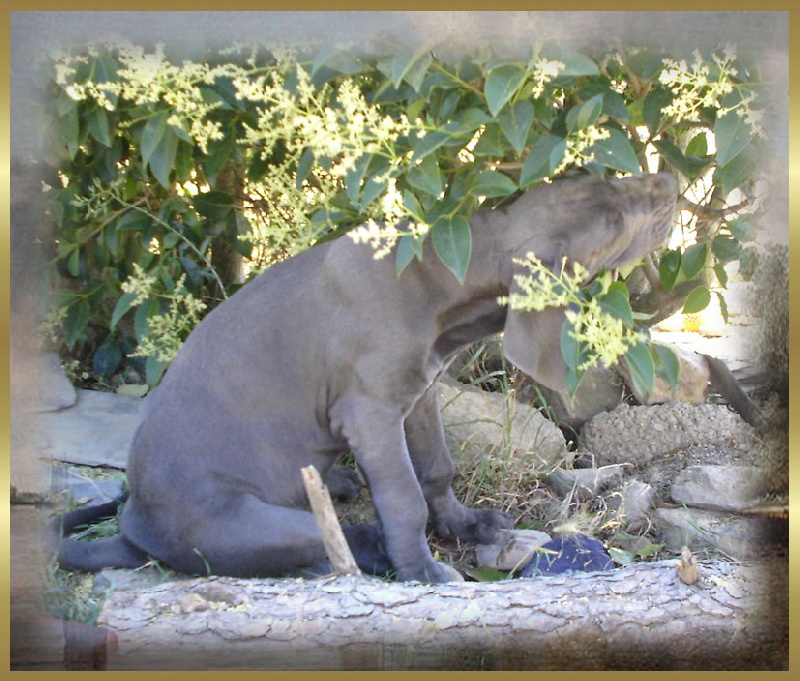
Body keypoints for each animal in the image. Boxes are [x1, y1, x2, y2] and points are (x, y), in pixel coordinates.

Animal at [55, 172, 678, 583]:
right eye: (615, 225)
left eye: (602, 175)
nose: (672, 180)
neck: (440, 278)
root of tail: (134, 527)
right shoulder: (371, 413)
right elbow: (404, 499)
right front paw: (424, 570)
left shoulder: (418, 394)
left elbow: (435, 470)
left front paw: (466, 525)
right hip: (240, 521)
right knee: (339, 539)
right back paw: (372, 550)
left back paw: (339, 484)